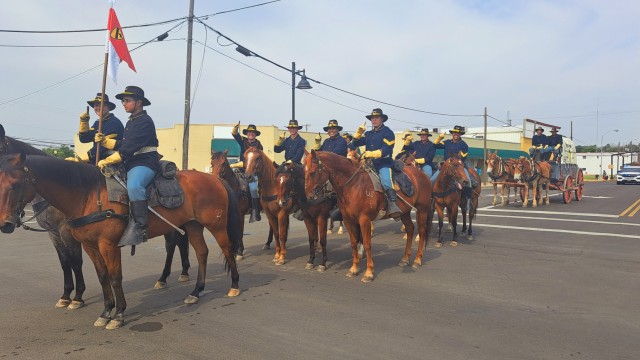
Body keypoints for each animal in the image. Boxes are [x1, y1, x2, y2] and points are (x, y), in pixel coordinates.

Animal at [0, 152, 241, 330]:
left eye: (15, 184)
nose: (5, 224)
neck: (87, 195)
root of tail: (214, 178)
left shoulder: (107, 244)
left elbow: (115, 277)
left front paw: (118, 314)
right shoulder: (89, 245)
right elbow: (102, 276)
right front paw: (106, 311)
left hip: (216, 226)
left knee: (227, 249)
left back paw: (235, 285)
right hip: (192, 225)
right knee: (201, 253)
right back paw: (195, 292)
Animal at [306, 150, 436, 282]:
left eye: (312, 173)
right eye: (304, 171)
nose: (309, 196)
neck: (354, 185)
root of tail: (423, 175)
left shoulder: (364, 219)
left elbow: (367, 244)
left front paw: (368, 272)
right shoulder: (348, 220)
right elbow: (353, 243)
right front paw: (354, 269)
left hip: (422, 210)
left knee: (422, 231)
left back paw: (417, 260)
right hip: (405, 212)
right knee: (410, 229)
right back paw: (405, 259)